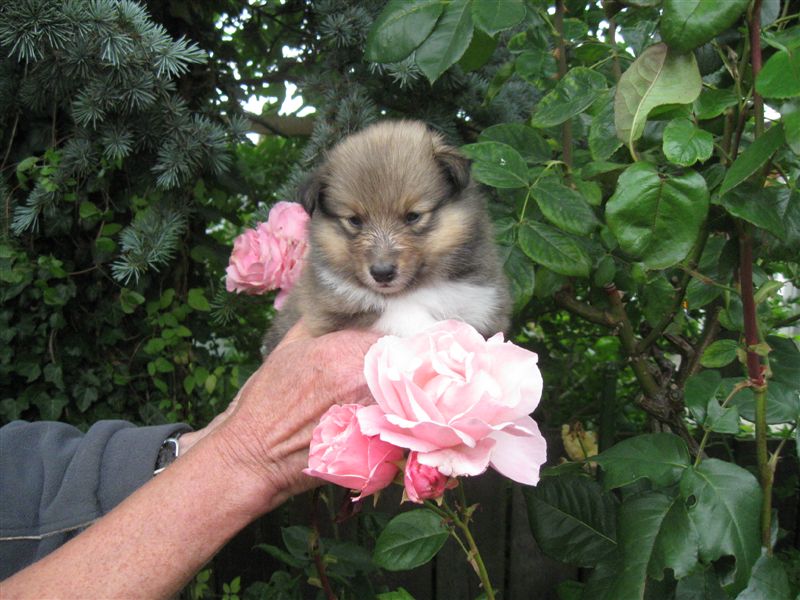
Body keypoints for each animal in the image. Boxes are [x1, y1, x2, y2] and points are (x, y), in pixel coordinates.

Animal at [263, 120, 510, 353]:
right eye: (355, 220)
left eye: (413, 216)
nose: (382, 273)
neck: (420, 287)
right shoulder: (331, 310)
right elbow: (401, 313)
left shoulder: (482, 302)